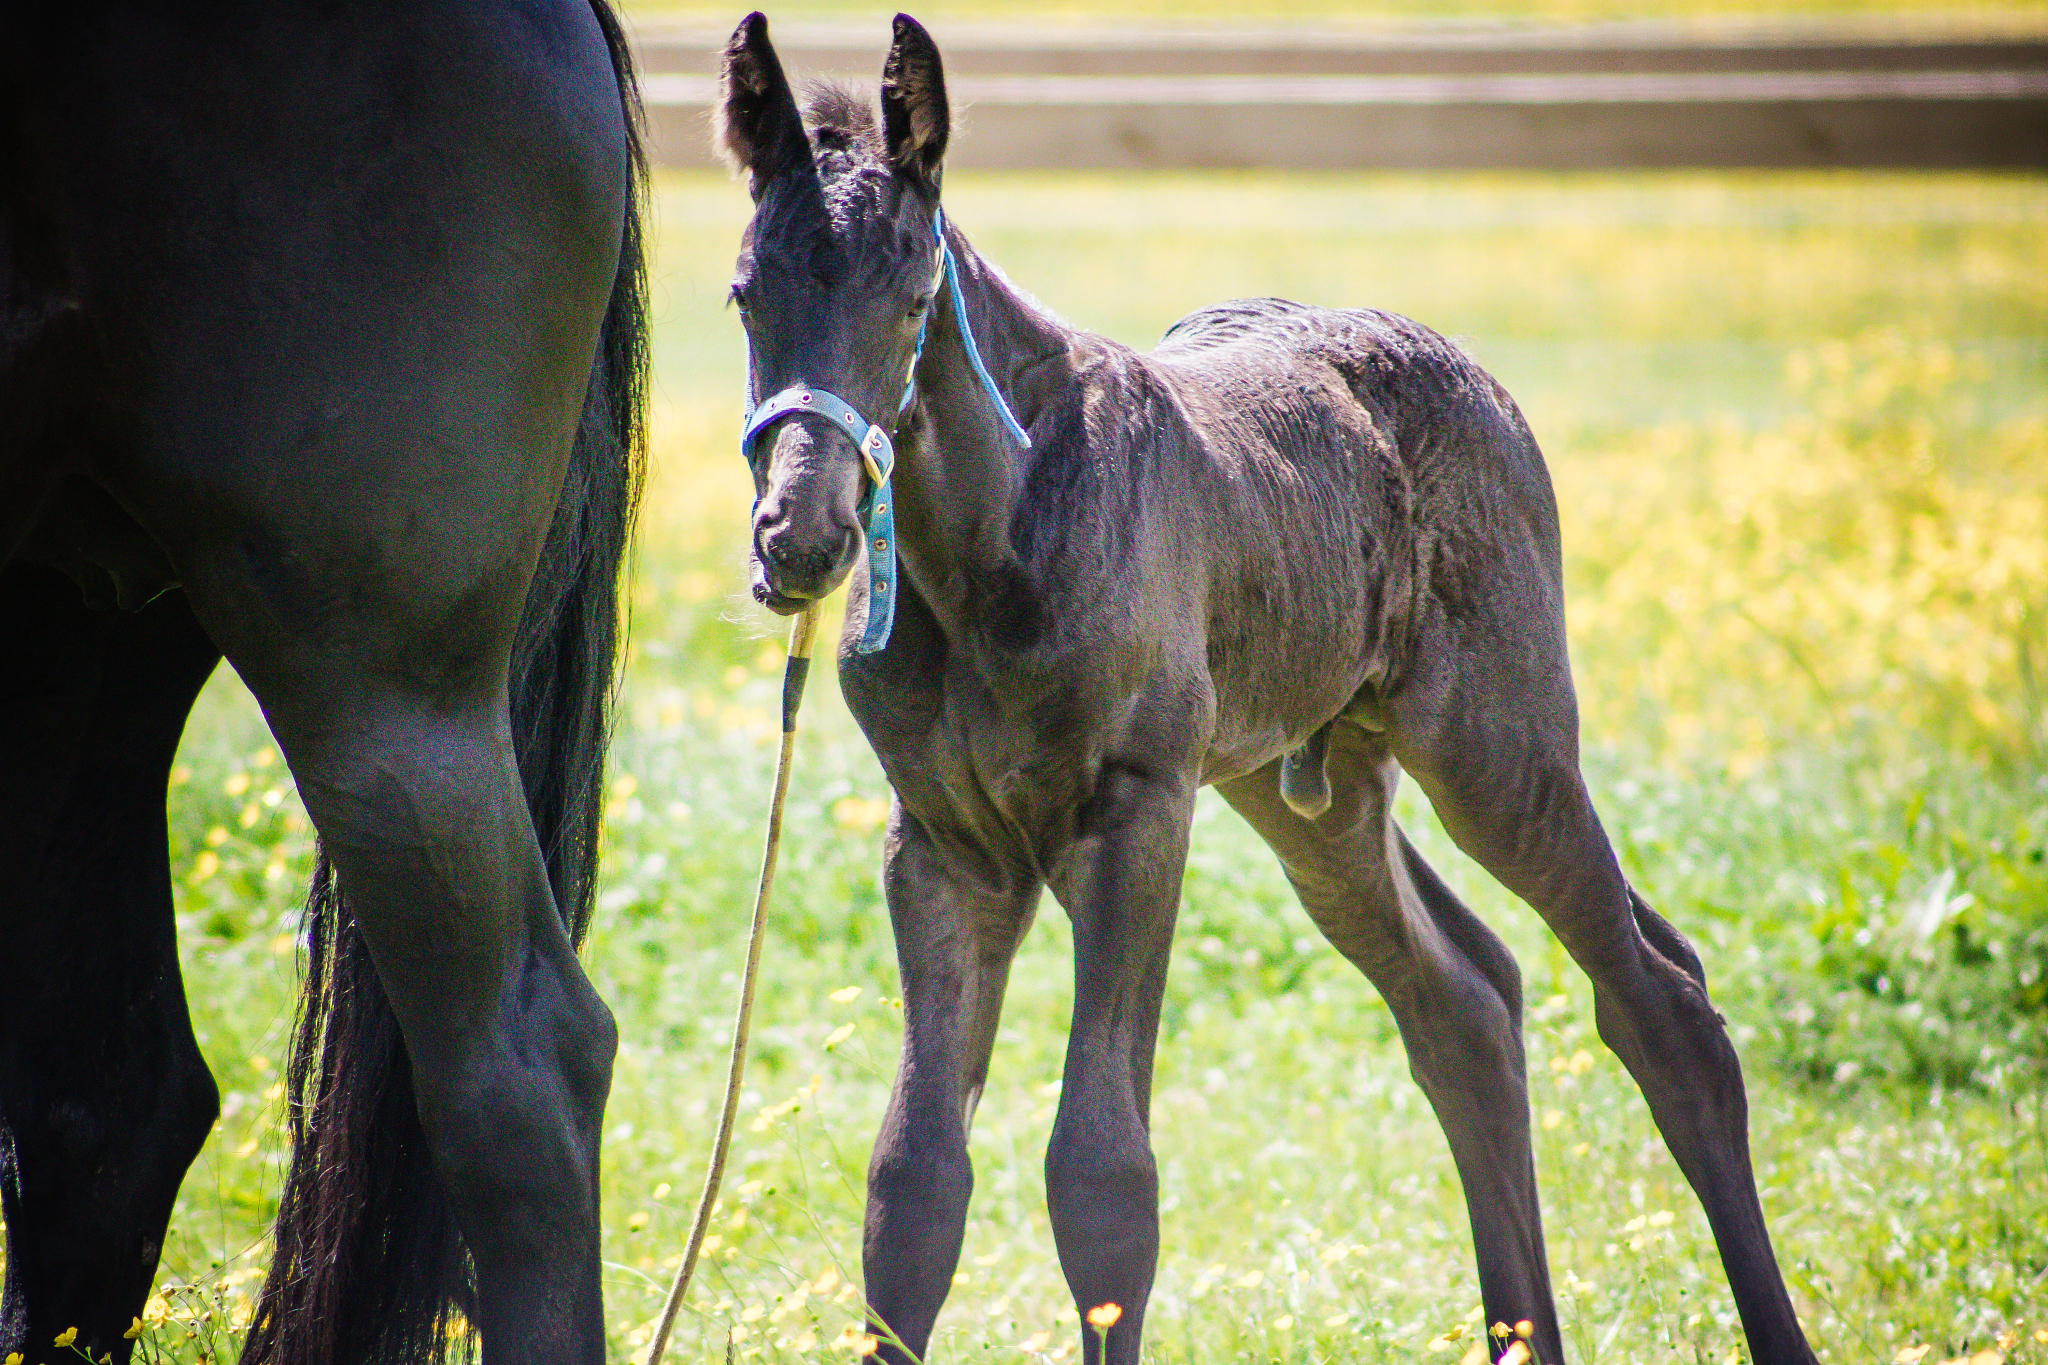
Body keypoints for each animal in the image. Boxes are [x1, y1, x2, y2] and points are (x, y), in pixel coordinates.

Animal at [717, 13, 1822, 1365]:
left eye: (916, 298)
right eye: (745, 294)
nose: (802, 539)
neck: (997, 541)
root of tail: (1463, 368)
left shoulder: (1135, 811)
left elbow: (1101, 1175)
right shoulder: (941, 843)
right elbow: (912, 1184)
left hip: (1496, 749)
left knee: (1659, 1007)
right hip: (1312, 791)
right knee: (1462, 1006)